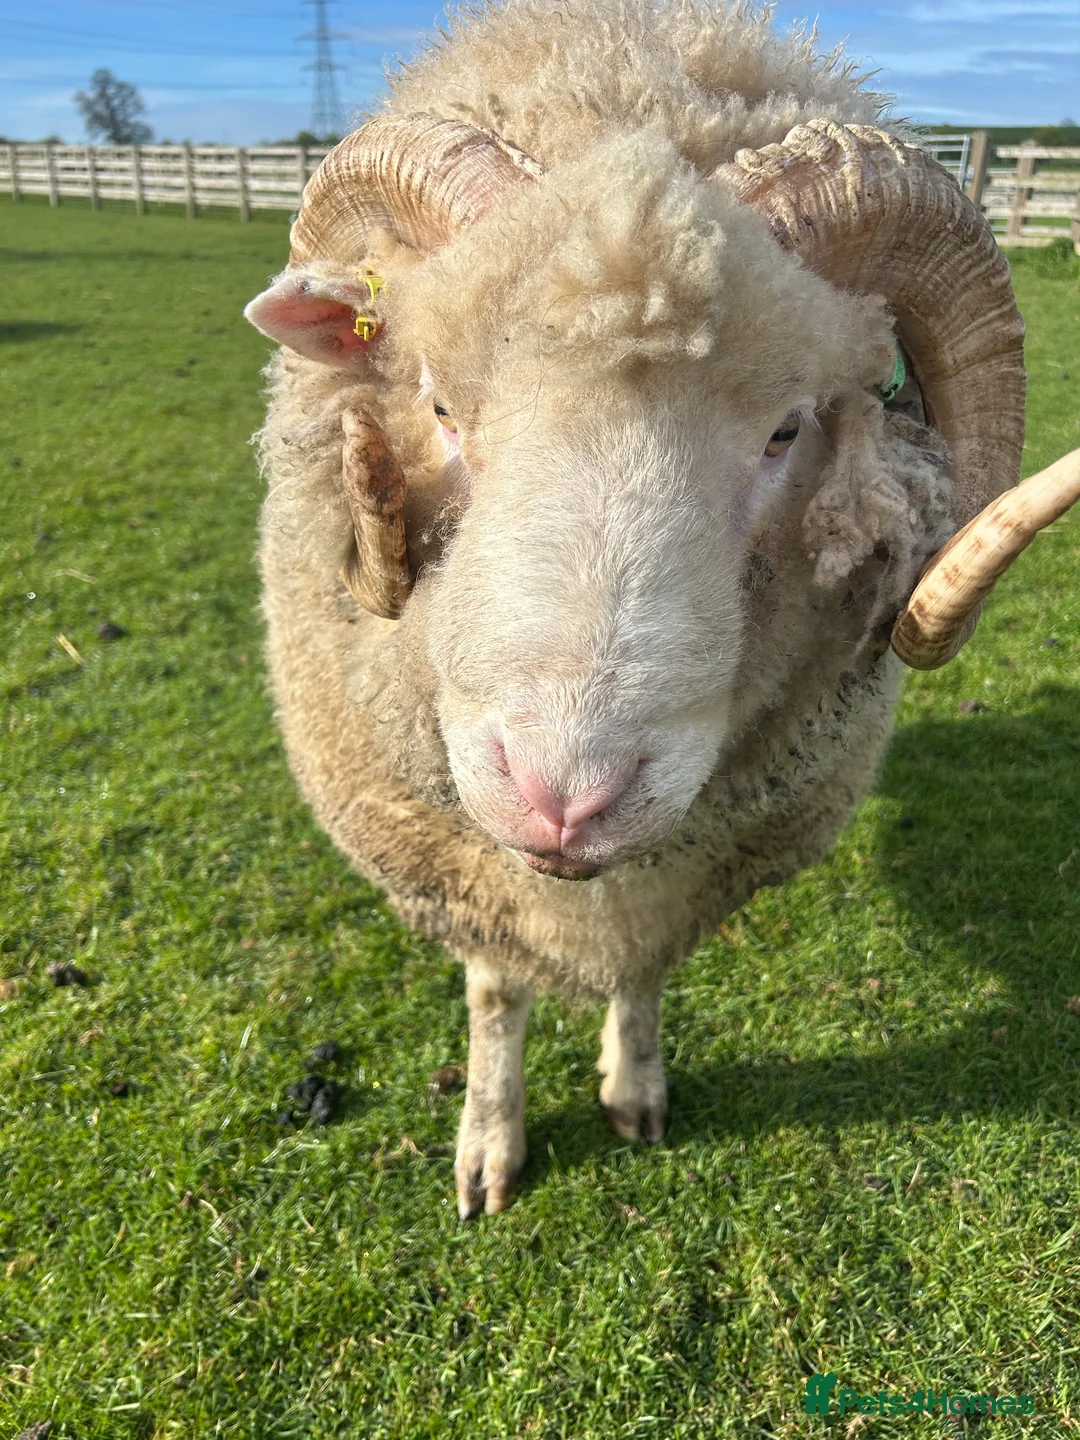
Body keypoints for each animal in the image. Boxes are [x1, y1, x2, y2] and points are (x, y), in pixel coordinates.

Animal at [245, 0, 1078, 1219]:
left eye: (787, 430)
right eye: (438, 406)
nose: (563, 799)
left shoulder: (682, 875)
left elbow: (642, 972)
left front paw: (633, 1092)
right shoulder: (465, 870)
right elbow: (496, 998)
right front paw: (489, 1144)